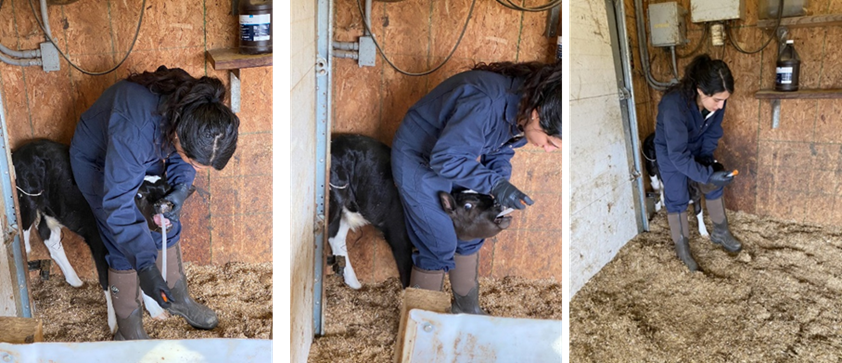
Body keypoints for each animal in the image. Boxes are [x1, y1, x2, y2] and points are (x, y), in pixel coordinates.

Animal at [13, 139, 180, 332]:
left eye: (167, 188)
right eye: (138, 194)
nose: (164, 203)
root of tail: (22, 150)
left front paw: (156, 311)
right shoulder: (100, 245)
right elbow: (108, 281)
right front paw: (114, 324)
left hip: (54, 210)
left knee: (49, 235)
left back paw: (74, 280)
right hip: (26, 202)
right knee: (26, 236)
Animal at [328, 134, 512, 290]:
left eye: (486, 195)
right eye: (468, 206)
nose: (498, 203)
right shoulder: (399, 234)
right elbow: (407, 272)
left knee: (336, 238)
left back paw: (354, 283)